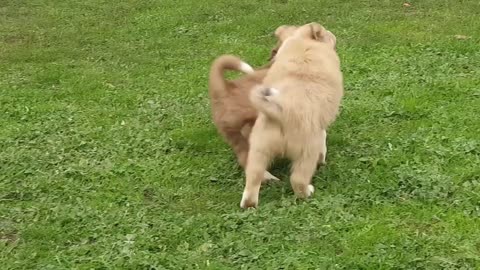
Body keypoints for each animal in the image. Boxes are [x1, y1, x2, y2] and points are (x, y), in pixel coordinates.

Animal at [242, 23, 344, 209]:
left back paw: (249, 205)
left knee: (253, 180)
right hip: (306, 152)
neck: (303, 44)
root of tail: (279, 112)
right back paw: (308, 192)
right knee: (297, 180)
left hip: (258, 149)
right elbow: (324, 137)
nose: (333, 35)